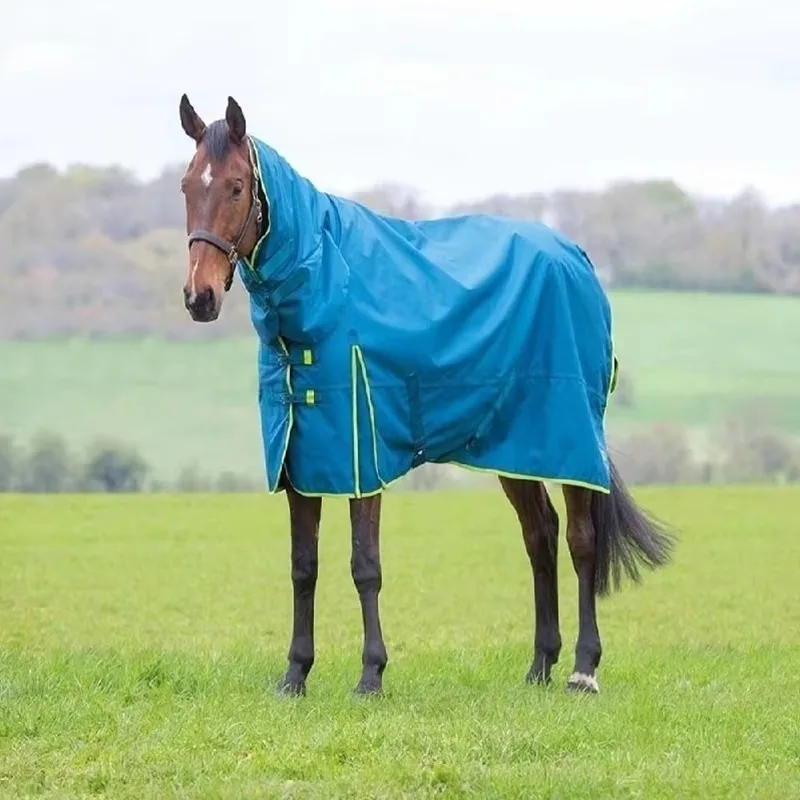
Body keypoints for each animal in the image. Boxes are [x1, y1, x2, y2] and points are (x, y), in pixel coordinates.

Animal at [177, 94, 674, 696]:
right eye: (186, 186)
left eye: (236, 186)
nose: (199, 297)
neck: (324, 285)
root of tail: (576, 257)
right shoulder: (301, 460)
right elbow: (303, 566)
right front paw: (295, 675)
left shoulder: (361, 456)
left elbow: (364, 565)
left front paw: (371, 675)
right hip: (514, 446)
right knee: (540, 536)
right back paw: (539, 667)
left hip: (570, 436)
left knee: (581, 540)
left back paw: (582, 669)